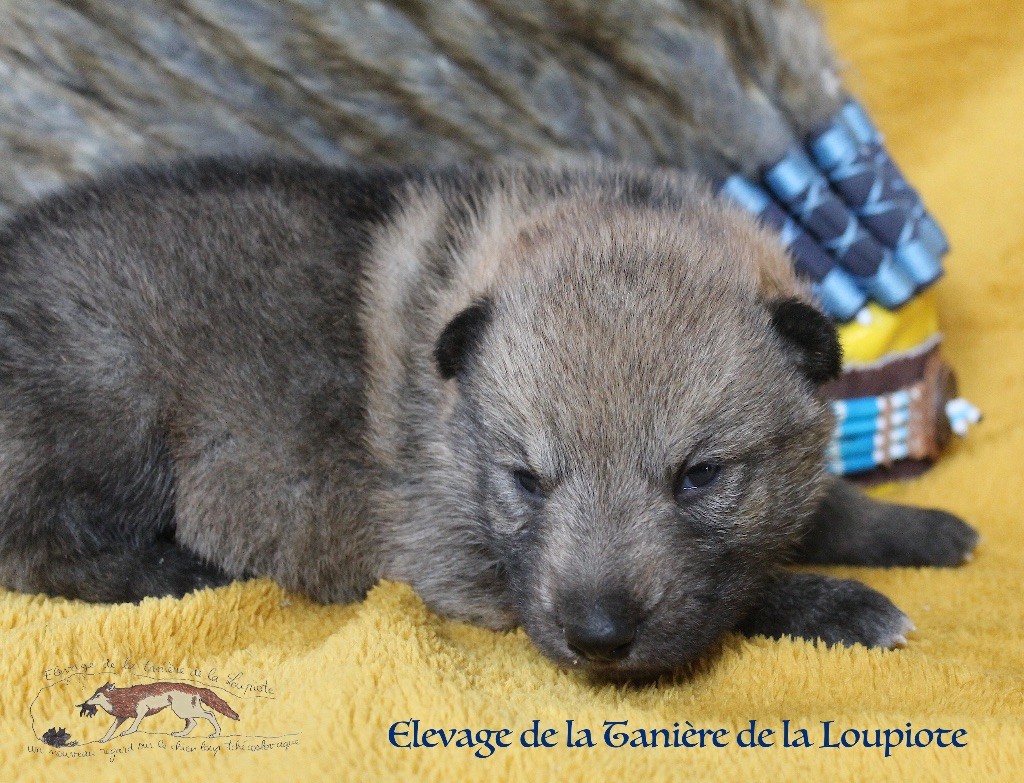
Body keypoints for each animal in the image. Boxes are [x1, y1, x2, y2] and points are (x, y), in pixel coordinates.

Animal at [0, 159, 977, 680]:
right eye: (527, 479)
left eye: (699, 475)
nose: (598, 637)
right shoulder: (456, 560)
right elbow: (740, 594)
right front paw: (840, 603)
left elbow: (823, 509)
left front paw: (923, 526)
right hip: (110, 395)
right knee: (36, 543)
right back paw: (176, 569)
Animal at [77, 681, 239, 741]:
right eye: (93, 694)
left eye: (97, 696)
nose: (86, 703)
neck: (120, 698)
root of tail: (196, 688)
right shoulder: (121, 718)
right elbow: (111, 730)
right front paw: (104, 739)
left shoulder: (142, 710)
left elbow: (134, 726)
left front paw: (127, 732)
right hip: (183, 712)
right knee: (193, 723)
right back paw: (180, 734)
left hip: (182, 710)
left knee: (209, 714)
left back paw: (216, 734)